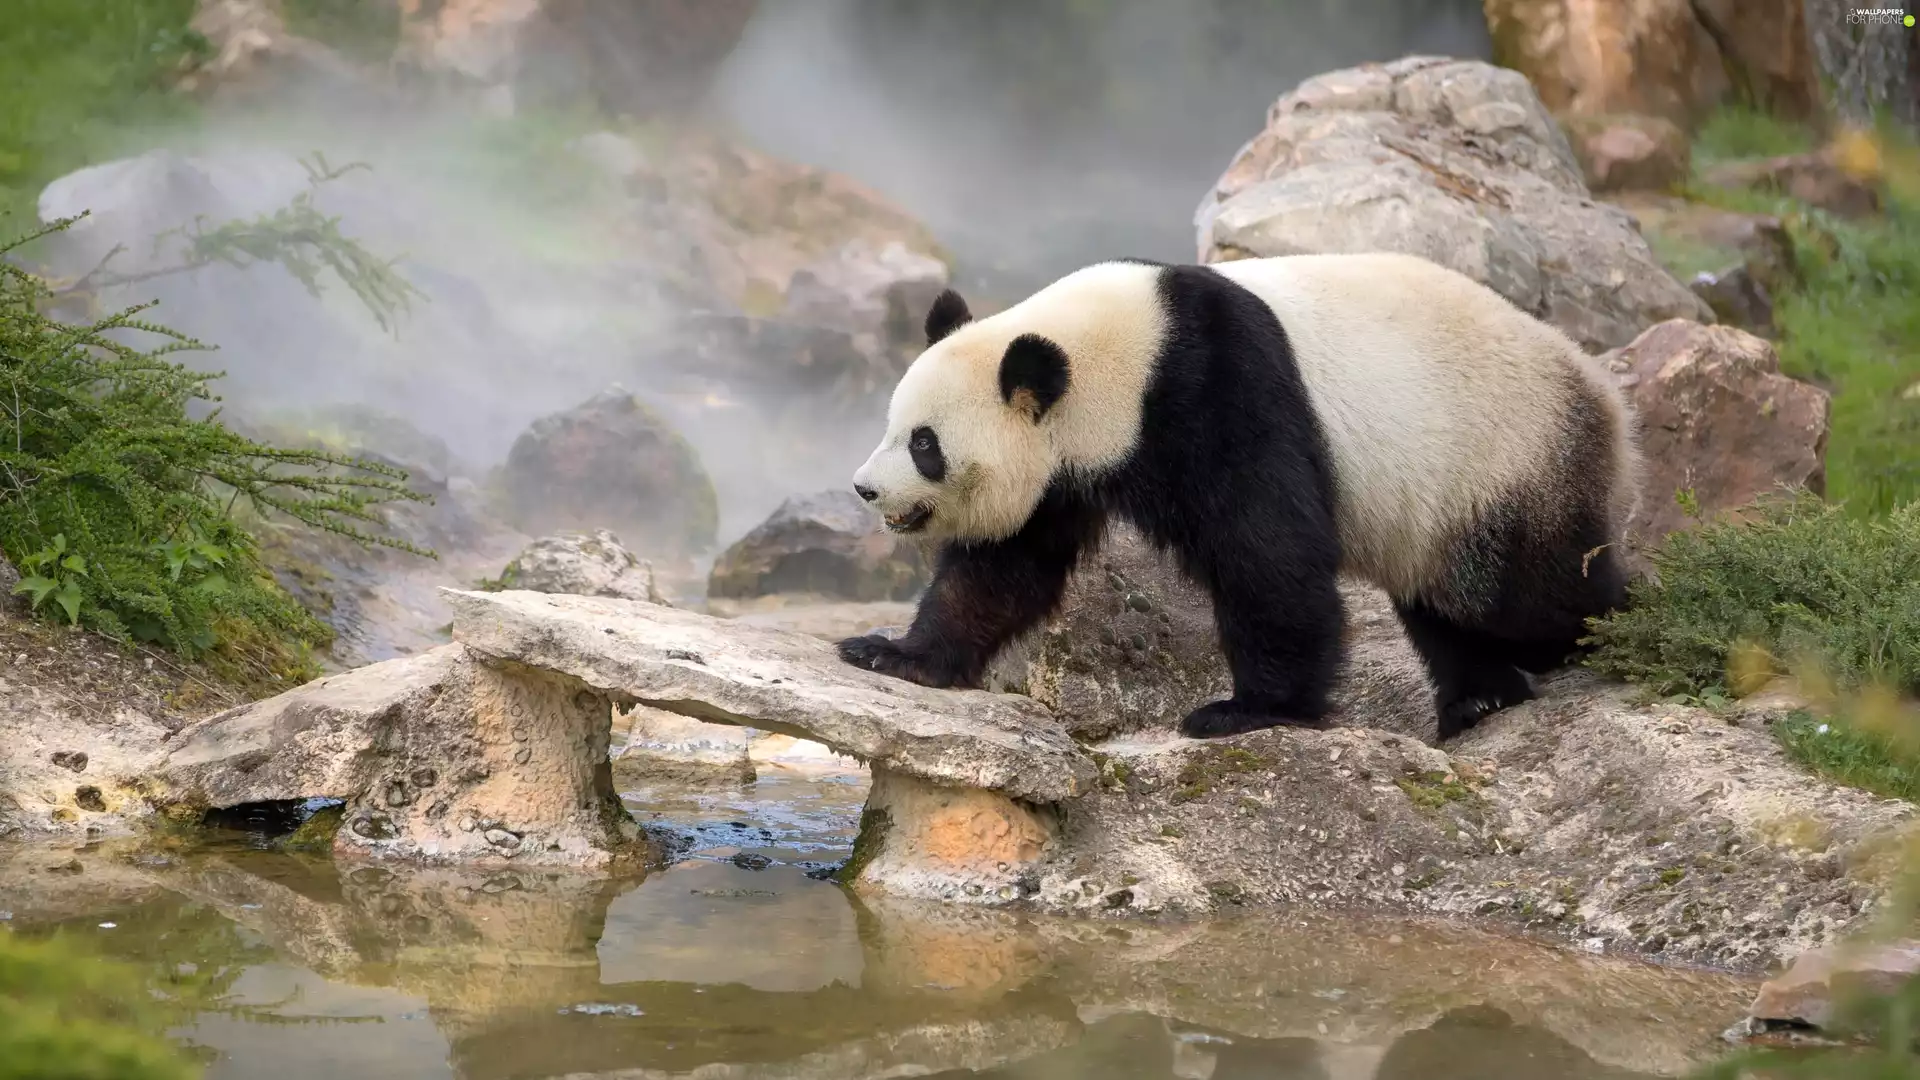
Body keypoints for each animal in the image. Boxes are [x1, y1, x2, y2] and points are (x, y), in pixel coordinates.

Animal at [836, 252, 1642, 741]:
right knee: (1444, 605)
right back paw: (1480, 699)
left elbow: (1268, 551)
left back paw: (1619, 628)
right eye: (892, 424)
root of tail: (1606, 397)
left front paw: (1249, 711)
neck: (1119, 349)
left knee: (1524, 593)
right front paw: (894, 654)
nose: (865, 488)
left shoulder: (1217, 387)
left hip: (1501, 457)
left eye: (925, 445)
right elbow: (1003, 568)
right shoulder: (1063, 465)